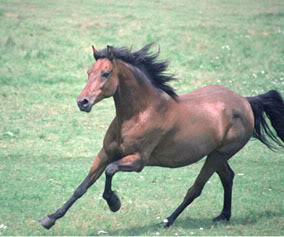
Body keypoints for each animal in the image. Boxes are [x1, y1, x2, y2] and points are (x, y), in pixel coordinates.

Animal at [38, 43, 284, 230]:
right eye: (89, 73)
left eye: (105, 74)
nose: (82, 102)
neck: (138, 114)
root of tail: (245, 101)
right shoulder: (106, 153)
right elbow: (83, 186)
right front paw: (49, 219)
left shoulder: (138, 161)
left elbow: (109, 171)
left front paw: (114, 202)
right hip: (216, 154)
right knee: (228, 177)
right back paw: (223, 216)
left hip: (219, 155)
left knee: (195, 189)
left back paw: (168, 220)